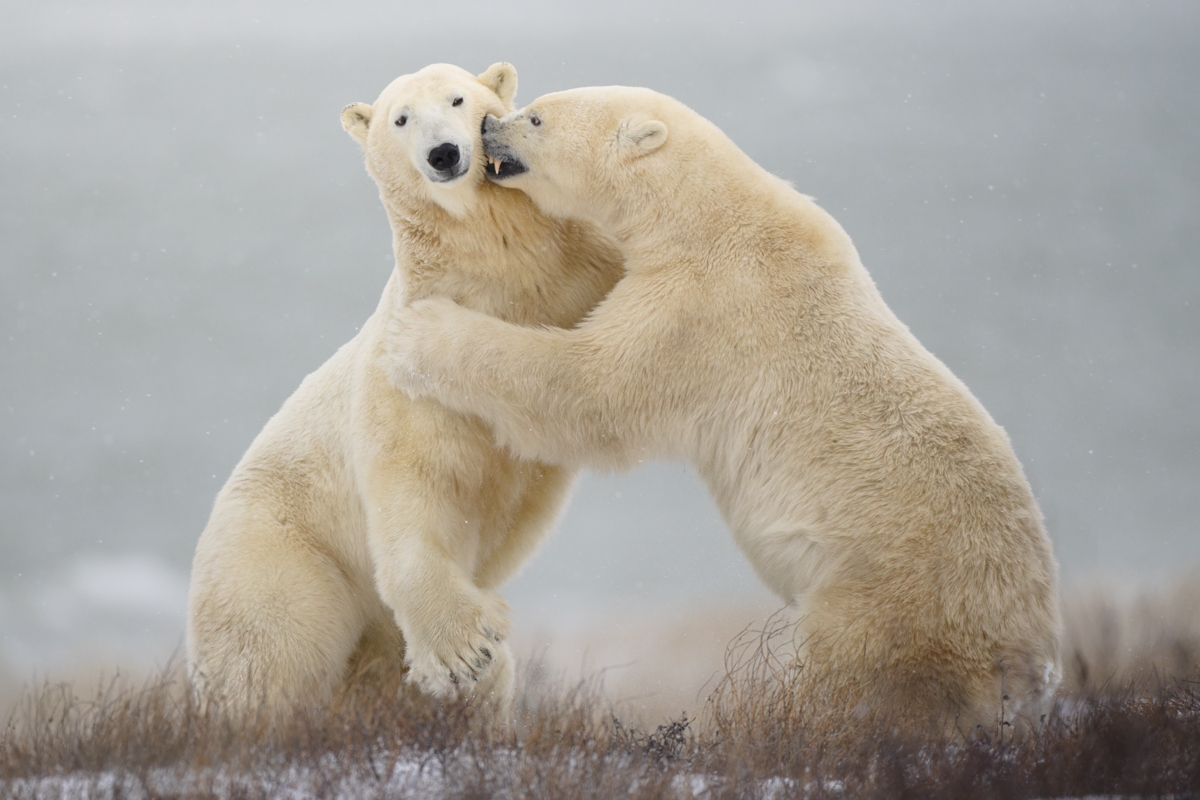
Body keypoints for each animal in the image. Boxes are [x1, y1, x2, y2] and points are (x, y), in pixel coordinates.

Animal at [185, 64, 624, 722]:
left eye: (459, 99)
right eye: (401, 118)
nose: (444, 154)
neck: (503, 272)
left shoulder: (578, 271)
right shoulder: (402, 373)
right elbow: (416, 486)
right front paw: (465, 649)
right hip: (282, 558)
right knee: (271, 656)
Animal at [385, 86, 1063, 734]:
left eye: (536, 118)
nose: (486, 127)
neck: (707, 211)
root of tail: (1021, 660)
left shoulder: (697, 306)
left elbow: (587, 386)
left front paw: (418, 332)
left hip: (884, 599)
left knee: (848, 679)